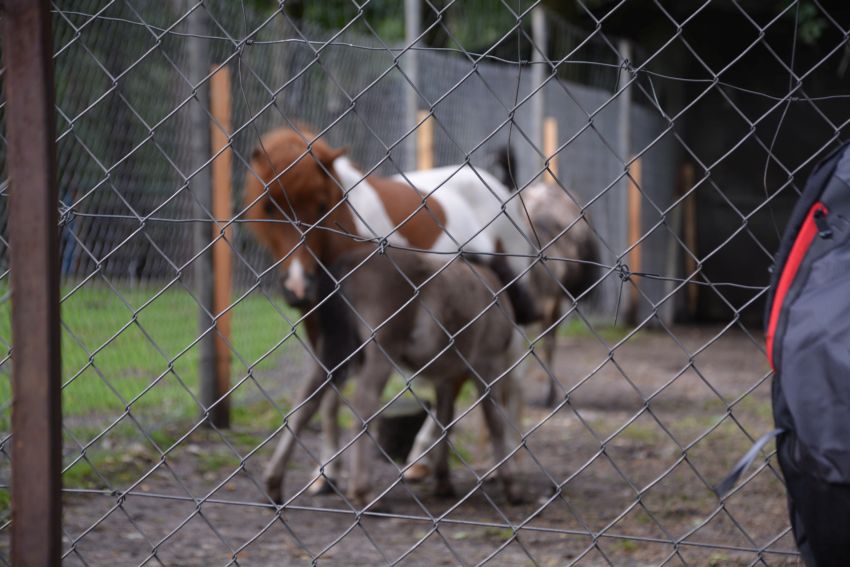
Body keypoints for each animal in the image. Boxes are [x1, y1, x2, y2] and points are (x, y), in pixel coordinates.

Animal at [243, 127, 534, 496]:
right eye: (268, 205)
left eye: (321, 205)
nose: (297, 286)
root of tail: (502, 186)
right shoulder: (322, 325)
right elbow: (325, 397)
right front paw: (327, 473)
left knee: (511, 381)